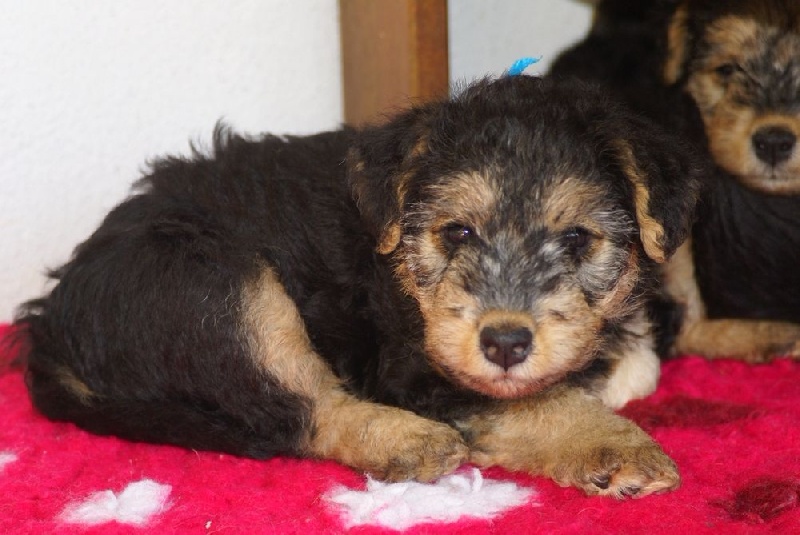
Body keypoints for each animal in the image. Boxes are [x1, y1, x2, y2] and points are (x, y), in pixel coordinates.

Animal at [13, 76, 701, 498]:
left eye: (578, 239)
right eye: (457, 232)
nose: (505, 343)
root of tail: (51, 320)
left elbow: (628, 367)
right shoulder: (414, 364)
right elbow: (536, 402)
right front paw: (616, 448)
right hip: (221, 285)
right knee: (301, 408)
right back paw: (412, 441)